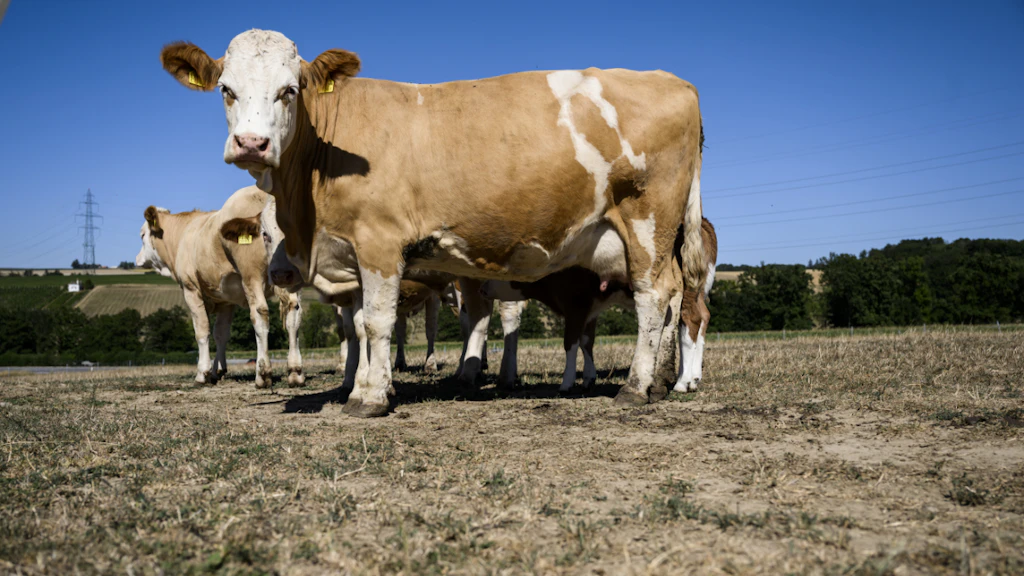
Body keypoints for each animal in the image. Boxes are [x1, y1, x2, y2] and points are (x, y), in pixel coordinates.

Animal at [135, 185, 305, 387]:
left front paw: (203, 373)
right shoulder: (226, 301)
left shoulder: (191, 289)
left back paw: (263, 375)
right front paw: (219, 370)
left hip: (252, 275)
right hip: (289, 276)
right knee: (294, 314)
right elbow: (221, 334)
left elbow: (201, 331)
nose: (137, 259)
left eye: (142, 235)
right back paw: (295, 371)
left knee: (260, 313)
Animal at [482, 217, 719, 392]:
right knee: (700, 319)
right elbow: (587, 342)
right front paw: (588, 378)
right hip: (697, 291)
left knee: (690, 322)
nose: (483, 288)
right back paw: (693, 378)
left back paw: (682, 382)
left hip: (686, 290)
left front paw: (567, 383)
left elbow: (570, 343)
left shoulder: (575, 305)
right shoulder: (591, 309)